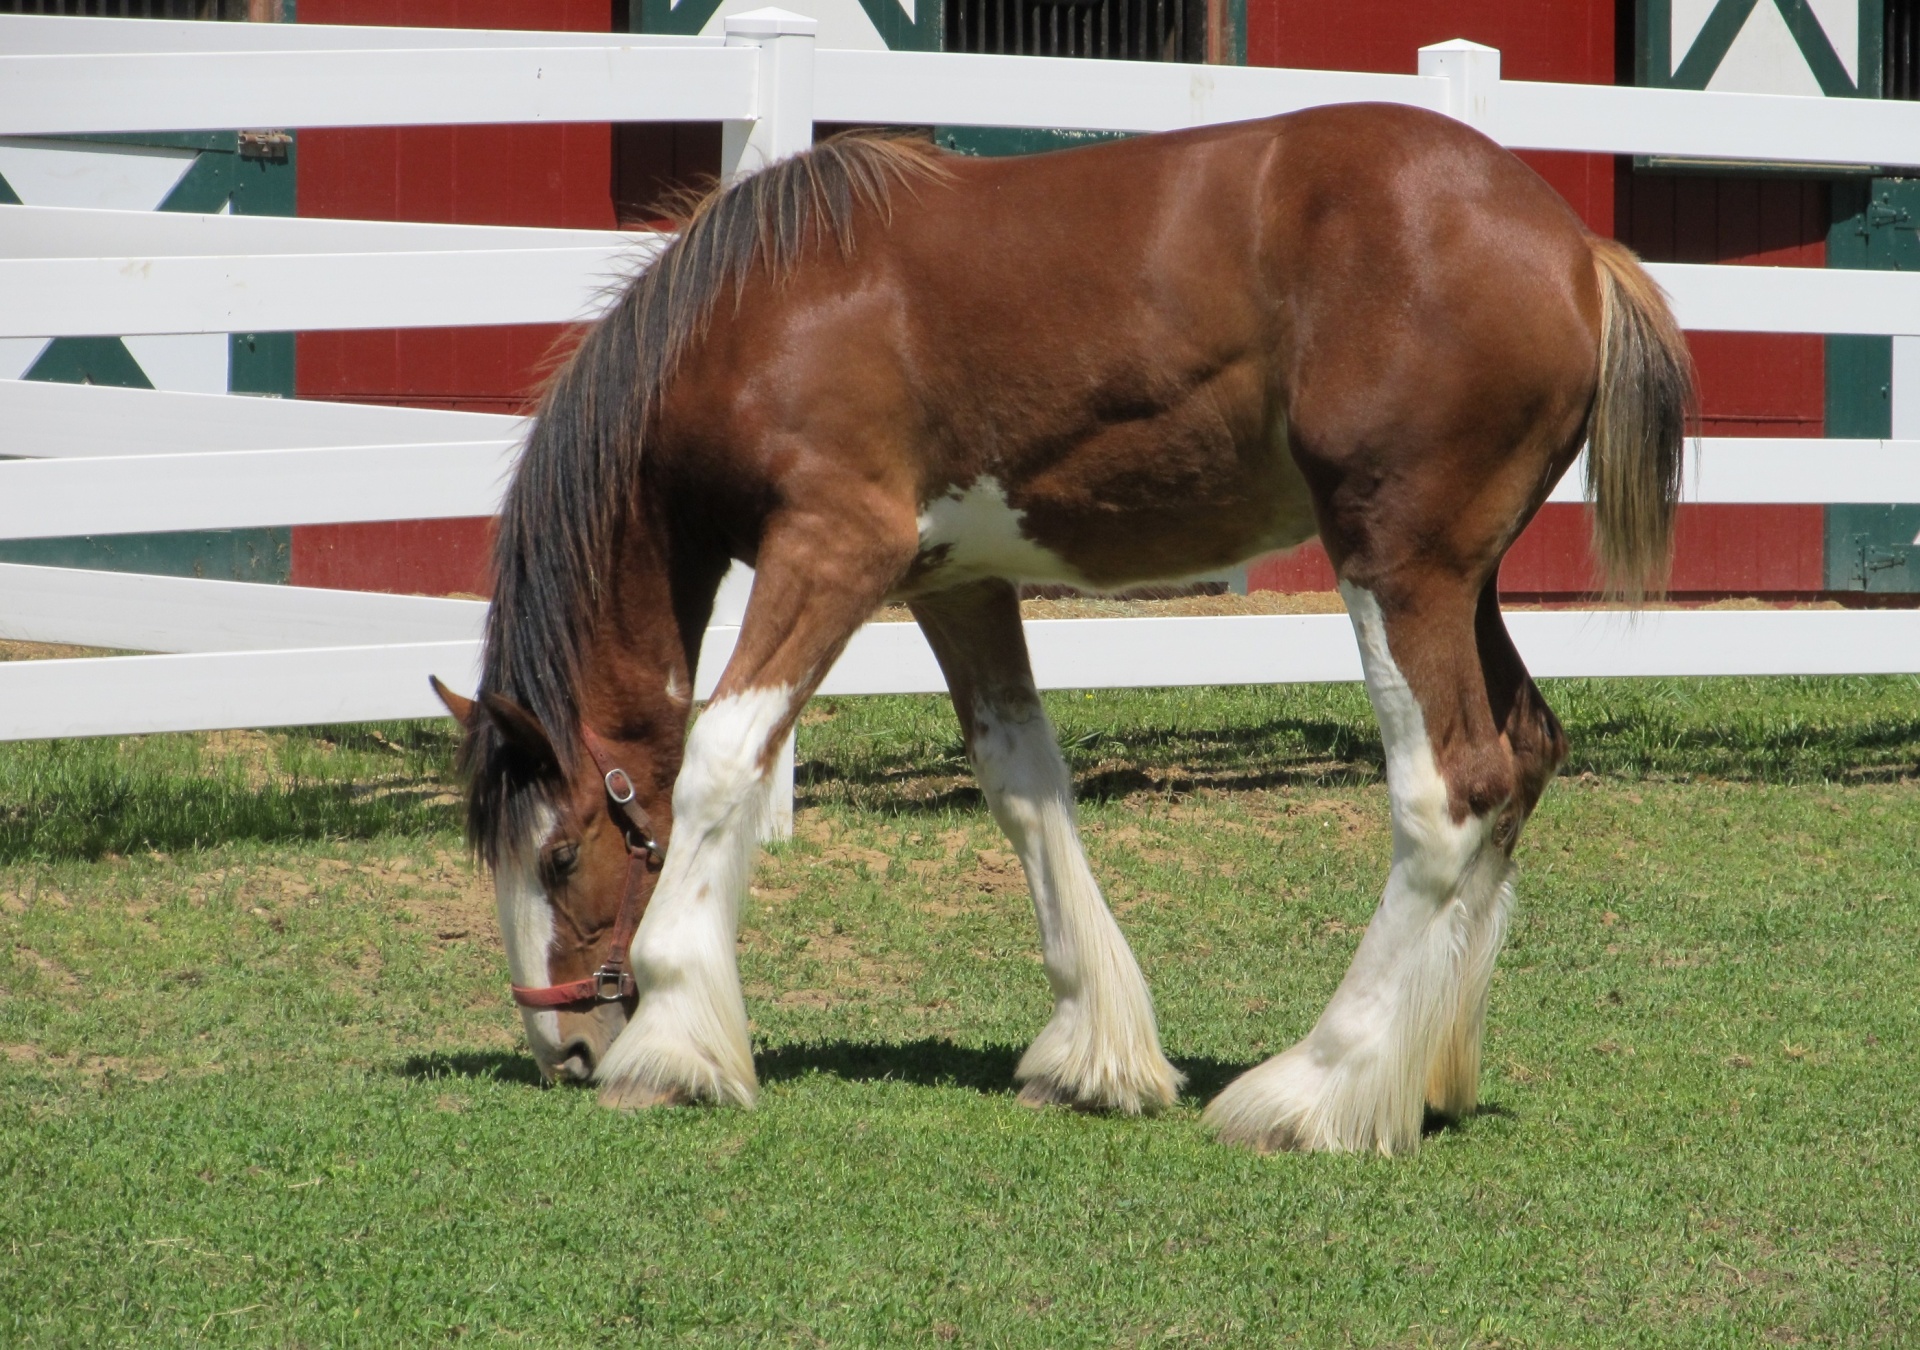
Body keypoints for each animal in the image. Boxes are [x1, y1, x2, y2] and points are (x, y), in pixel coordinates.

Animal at [432, 108, 1681, 1159]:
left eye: (557, 853)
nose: (564, 1048)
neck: (764, 311)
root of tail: (1576, 249)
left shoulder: (833, 550)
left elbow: (723, 759)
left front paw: (673, 1046)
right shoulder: (958, 582)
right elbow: (1023, 786)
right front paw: (1093, 1055)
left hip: (1396, 563)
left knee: (1449, 790)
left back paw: (1317, 1090)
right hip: (1467, 581)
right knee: (1523, 758)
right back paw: (1417, 1079)